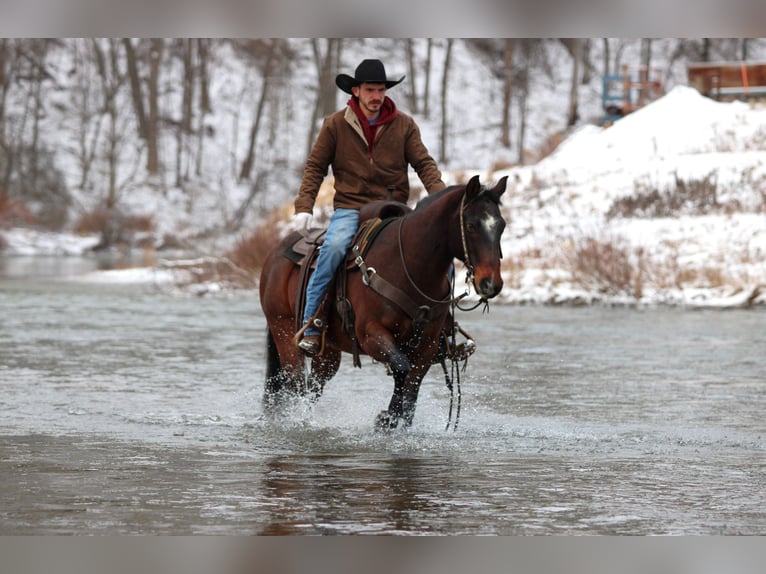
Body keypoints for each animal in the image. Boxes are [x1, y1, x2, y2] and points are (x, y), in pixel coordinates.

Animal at [258, 174, 508, 430]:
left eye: (501, 226)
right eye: (471, 226)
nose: (491, 283)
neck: (408, 264)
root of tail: (274, 254)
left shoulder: (427, 345)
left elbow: (411, 388)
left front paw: (392, 419)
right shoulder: (371, 334)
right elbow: (400, 368)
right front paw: (386, 418)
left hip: (327, 353)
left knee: (314, 385)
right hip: (284, 331)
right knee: (295, 383)